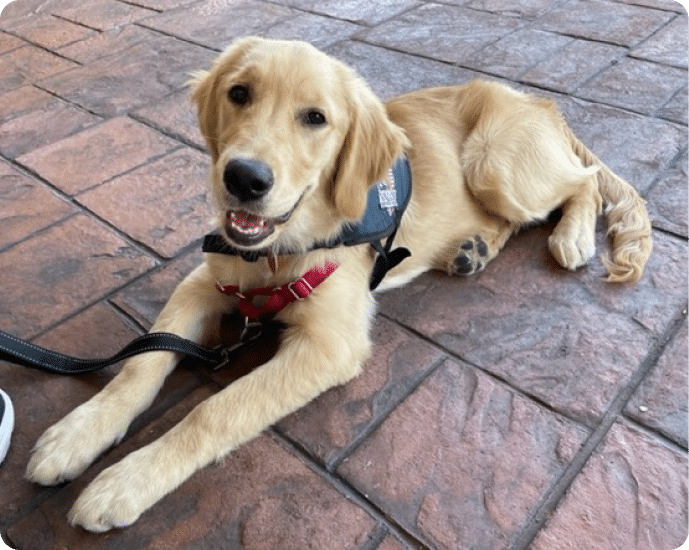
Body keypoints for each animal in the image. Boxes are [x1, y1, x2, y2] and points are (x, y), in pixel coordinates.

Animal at [26, 35, 652, 536]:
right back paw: (471, 250)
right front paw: (79, 433)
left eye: (315, 119)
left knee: (584, 182)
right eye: (239, 93)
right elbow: (142, 362)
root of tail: (537, 101)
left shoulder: (329, 345)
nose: (243, 178)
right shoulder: (203, 280)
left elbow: (218, 410)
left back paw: (572, 236)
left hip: (495, 163)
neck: (277, 253)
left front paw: (125, 482)